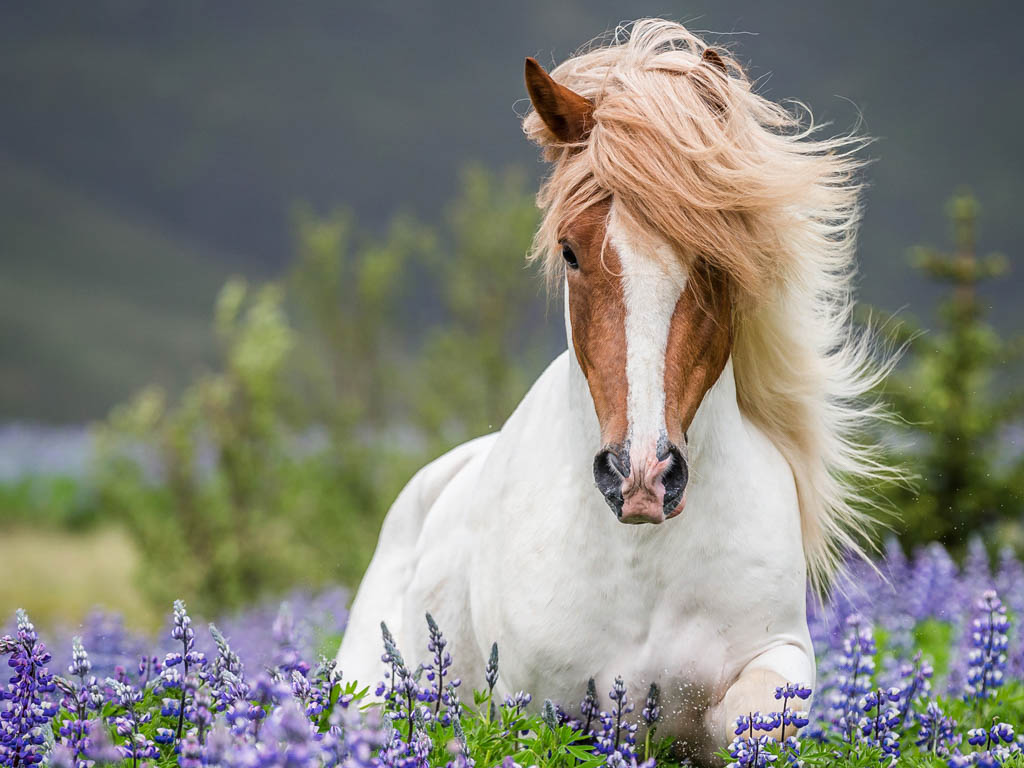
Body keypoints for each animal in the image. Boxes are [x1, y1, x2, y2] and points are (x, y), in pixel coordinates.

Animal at [337, 19, 889, 761]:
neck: (641, 560)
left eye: (715, 257)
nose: (642, 476)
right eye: (570, 251)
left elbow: (759, 718)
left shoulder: (772, 657)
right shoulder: (541, 705)